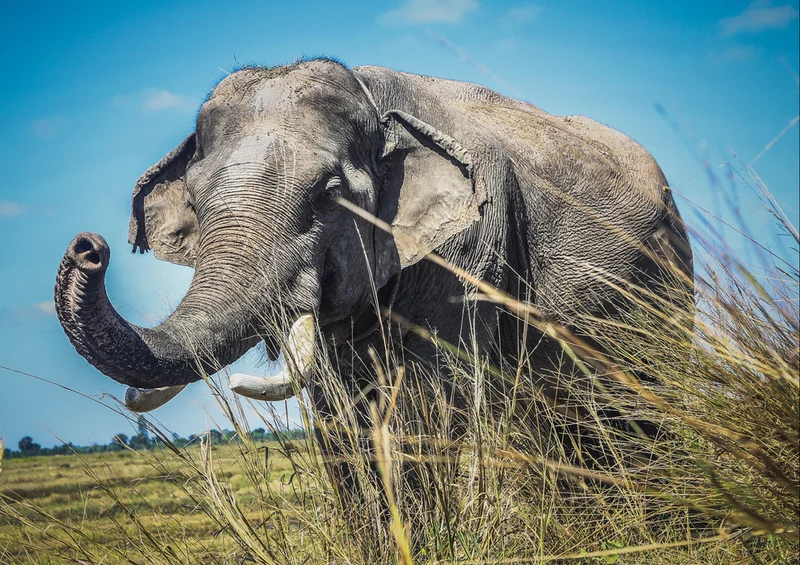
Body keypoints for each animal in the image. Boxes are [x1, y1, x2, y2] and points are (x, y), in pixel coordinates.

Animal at [55, 58, 693, 469]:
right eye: (196, 197)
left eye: (329, 196)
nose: (89, 246)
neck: (374, 99)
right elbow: (337, 412)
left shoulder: (468, 249)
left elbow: (427, 403)